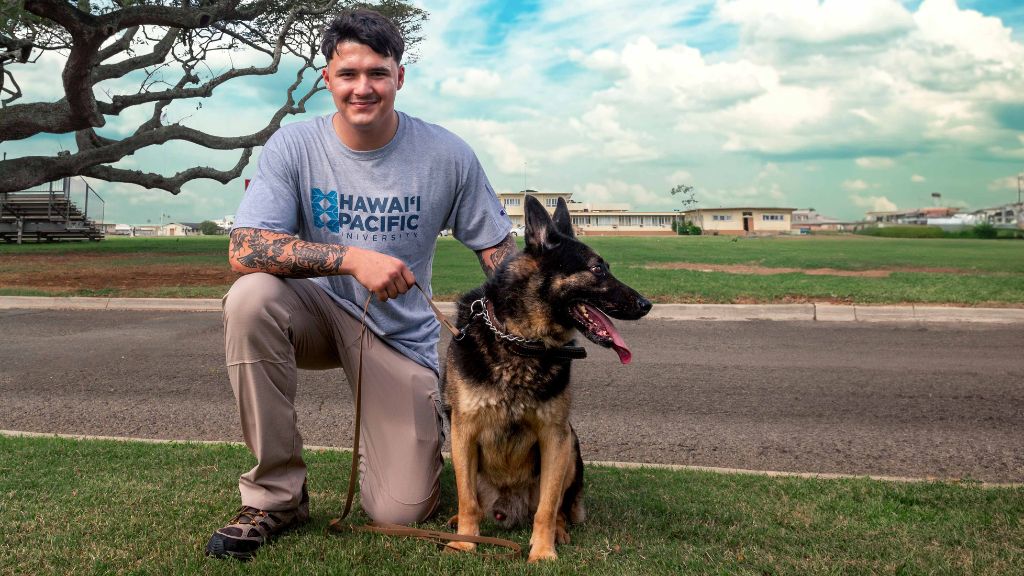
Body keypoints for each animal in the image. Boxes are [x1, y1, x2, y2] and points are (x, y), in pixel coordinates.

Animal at [442, 194, 651, 557]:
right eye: (597, 269)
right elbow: (467, 500)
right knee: (476, 503)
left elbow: (548, 507)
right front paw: (464, 543)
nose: (646, 303)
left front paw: (542, 552)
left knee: (558, 509)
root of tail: (508, 508)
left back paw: (560, 530)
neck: (522, 344)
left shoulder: (554, 436)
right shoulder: (463, 432)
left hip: (571, 446)